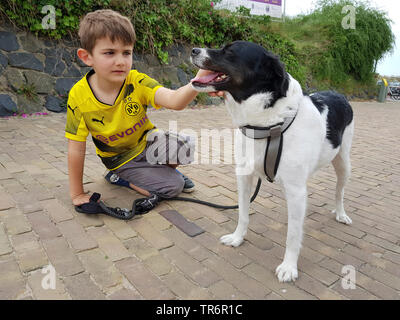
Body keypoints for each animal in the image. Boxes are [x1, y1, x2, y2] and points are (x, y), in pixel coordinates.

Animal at [191, 40, 354, 282]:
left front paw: (289, 266)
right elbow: (243, 214)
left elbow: (293, 234)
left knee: (339, 191)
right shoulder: (244, 176)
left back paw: (341, 213)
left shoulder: (296, 190)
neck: (267, 124)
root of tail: (340, 95)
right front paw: (238, 238)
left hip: (343, 163)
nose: (193, 50)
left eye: (230, 51)